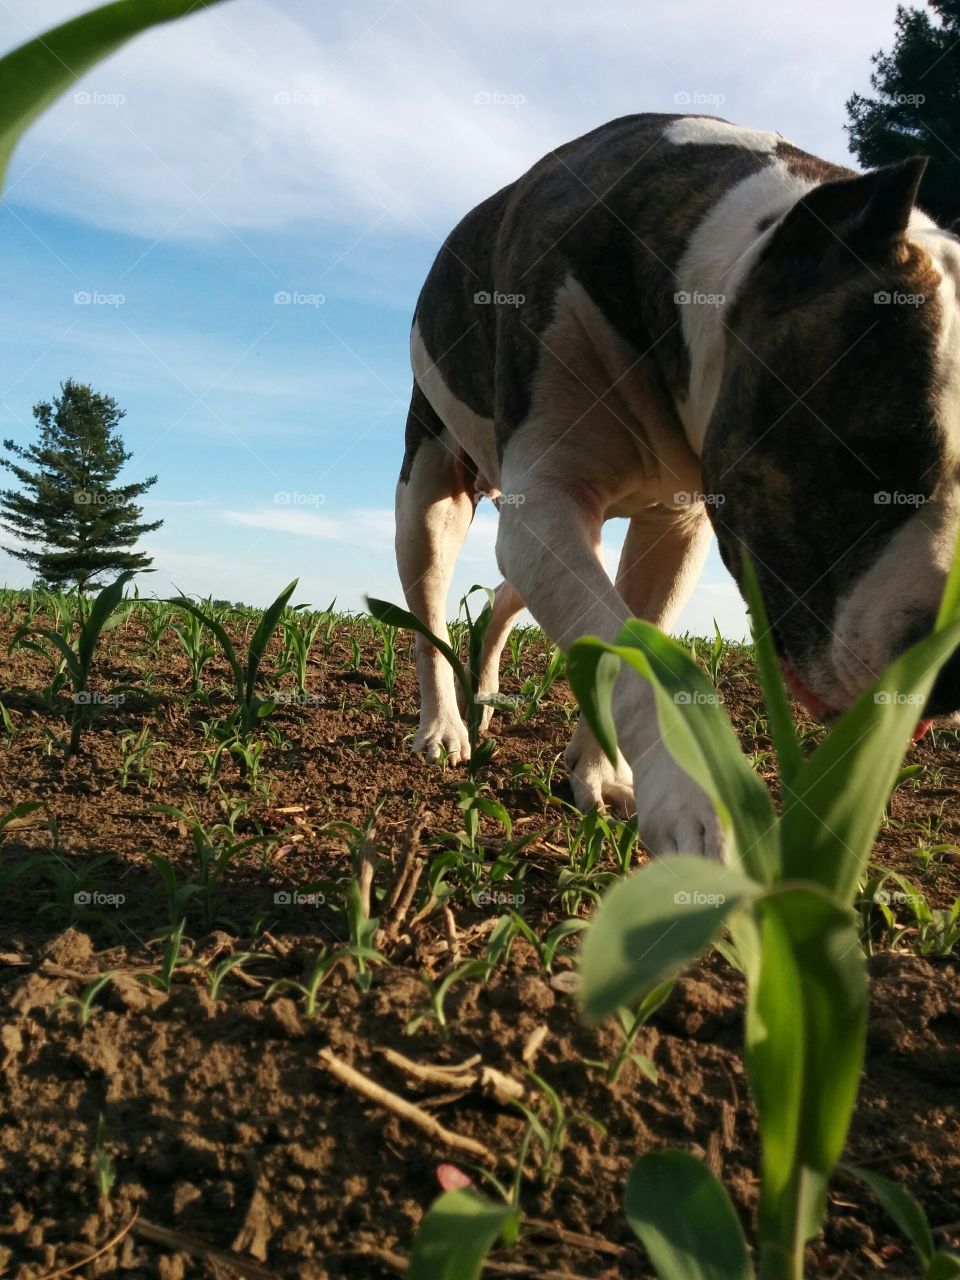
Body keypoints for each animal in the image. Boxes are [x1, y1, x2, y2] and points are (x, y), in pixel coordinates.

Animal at [391, 115, 960, 860]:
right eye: (863, 455)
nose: (952, 669)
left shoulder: (673, 525)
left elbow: (632, 636)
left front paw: (599, 772)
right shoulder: (546, 499)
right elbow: (624, 646)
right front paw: (690, 805)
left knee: (506, 598)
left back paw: (484, 693)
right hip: (430, 483)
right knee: (427, 607)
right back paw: (443, 728)